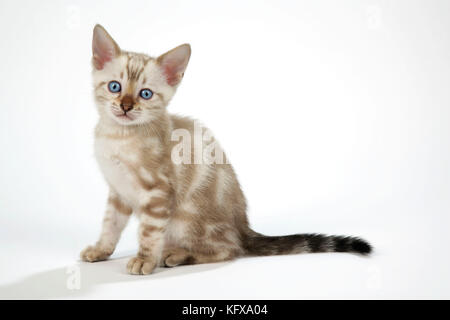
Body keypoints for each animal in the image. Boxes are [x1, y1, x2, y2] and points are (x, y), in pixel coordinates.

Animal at [81, 25, 372, 276]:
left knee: (229, 249)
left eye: (145, 94)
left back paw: (176, 254)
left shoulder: (158, 192)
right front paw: (101, 250)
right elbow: (110, 225)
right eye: (115, 86)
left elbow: (149, 233)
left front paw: (144, 259)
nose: (126, 106)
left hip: (186, 219)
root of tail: (243, 227)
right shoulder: (118, 192)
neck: (117, 137)